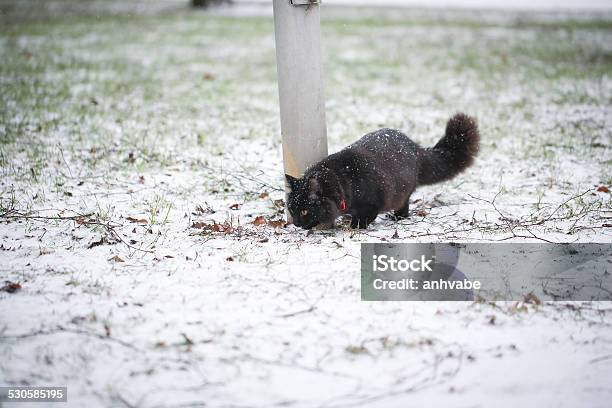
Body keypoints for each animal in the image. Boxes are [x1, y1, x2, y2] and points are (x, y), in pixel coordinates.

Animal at [284, 113, 480, 231]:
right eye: (292, 209)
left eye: (304, 211)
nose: (297, 224)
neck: (343, 181)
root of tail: (415, 147)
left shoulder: (372, 205)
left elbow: (362, 220)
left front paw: (353, 227)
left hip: (401, 192)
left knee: (404, 206)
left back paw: (397, 217)